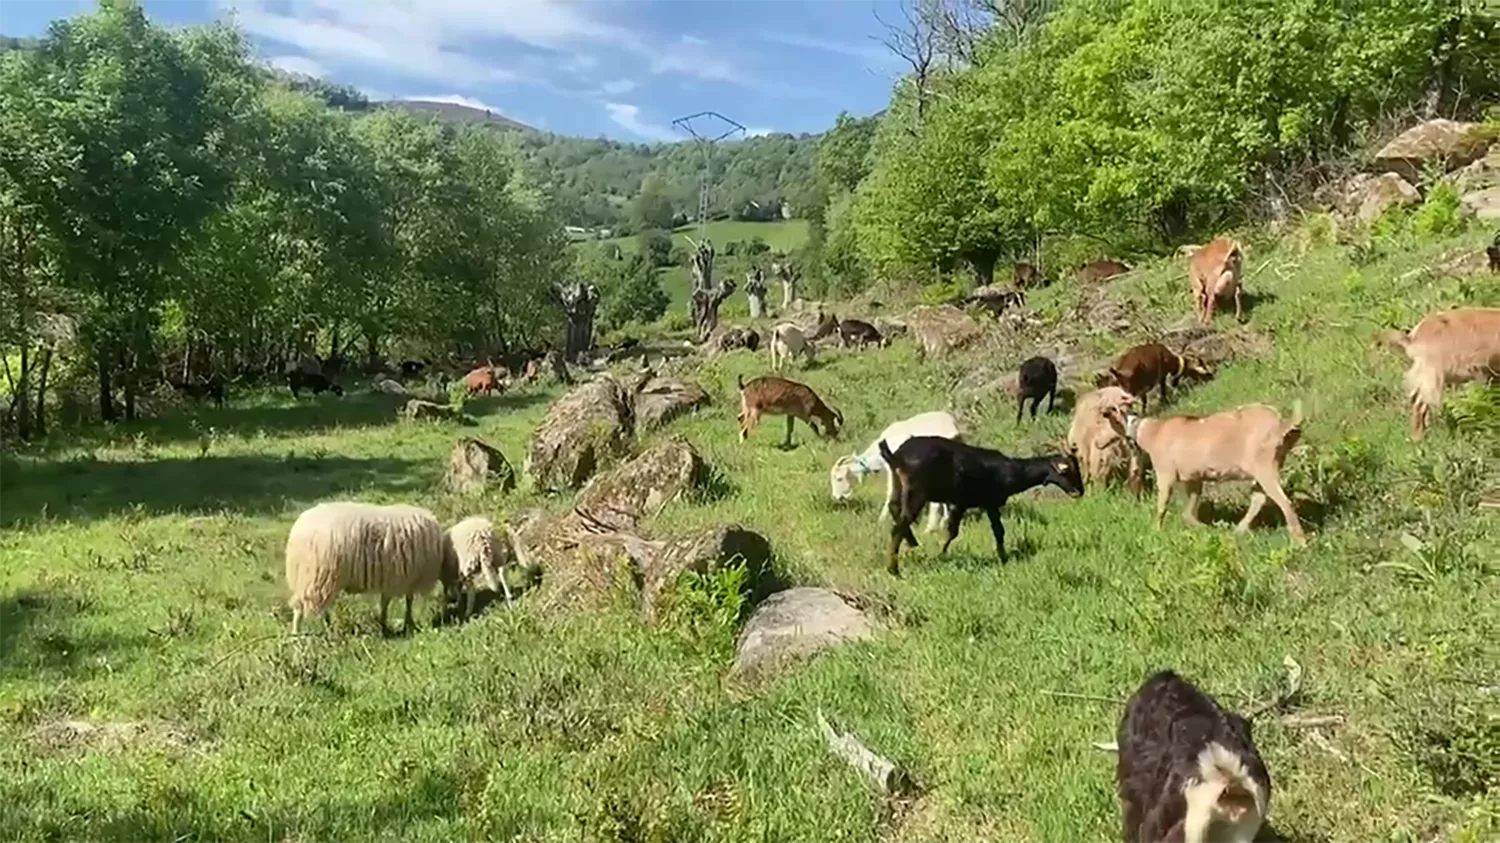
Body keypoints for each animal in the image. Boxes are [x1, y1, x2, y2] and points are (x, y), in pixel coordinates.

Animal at [285, 498, 459, 630]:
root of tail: (298, 530)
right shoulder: (406, 577)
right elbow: (401, 601)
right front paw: (402, 624)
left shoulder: (394, 577)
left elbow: (389, 601)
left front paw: (388, 624)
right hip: (317, 575)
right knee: (302, 608)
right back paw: (300, 634)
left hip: (310, 577)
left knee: (313, 605)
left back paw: (325, 627)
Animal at [876, 432, 1080, 576]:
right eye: (1067, 470)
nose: (1079, 490)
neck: (1012, 471)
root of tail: (898, 456)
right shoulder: (980, 501)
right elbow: (972, 531)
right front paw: (940, 555)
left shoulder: (969, 503)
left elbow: (967, 531)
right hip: (917, 491)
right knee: (899, 525)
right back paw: (894, 569)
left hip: (898, 483)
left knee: (894, 509)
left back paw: (912, 543)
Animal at [1098, 396, 1308, 540]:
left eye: (1106, 418)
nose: (1098, 444)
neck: (1151, 432)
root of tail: (1282, 424)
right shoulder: (1194, 477)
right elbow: (1189, 510)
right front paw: (1204, 528)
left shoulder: (1165, 473)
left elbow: (1162, 505)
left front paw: (1155, 530)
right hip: (1265, 468)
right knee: (1259, 498)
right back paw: (1239, 530)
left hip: (1265, 466)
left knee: (1283, 501)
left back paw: (1299, 540)